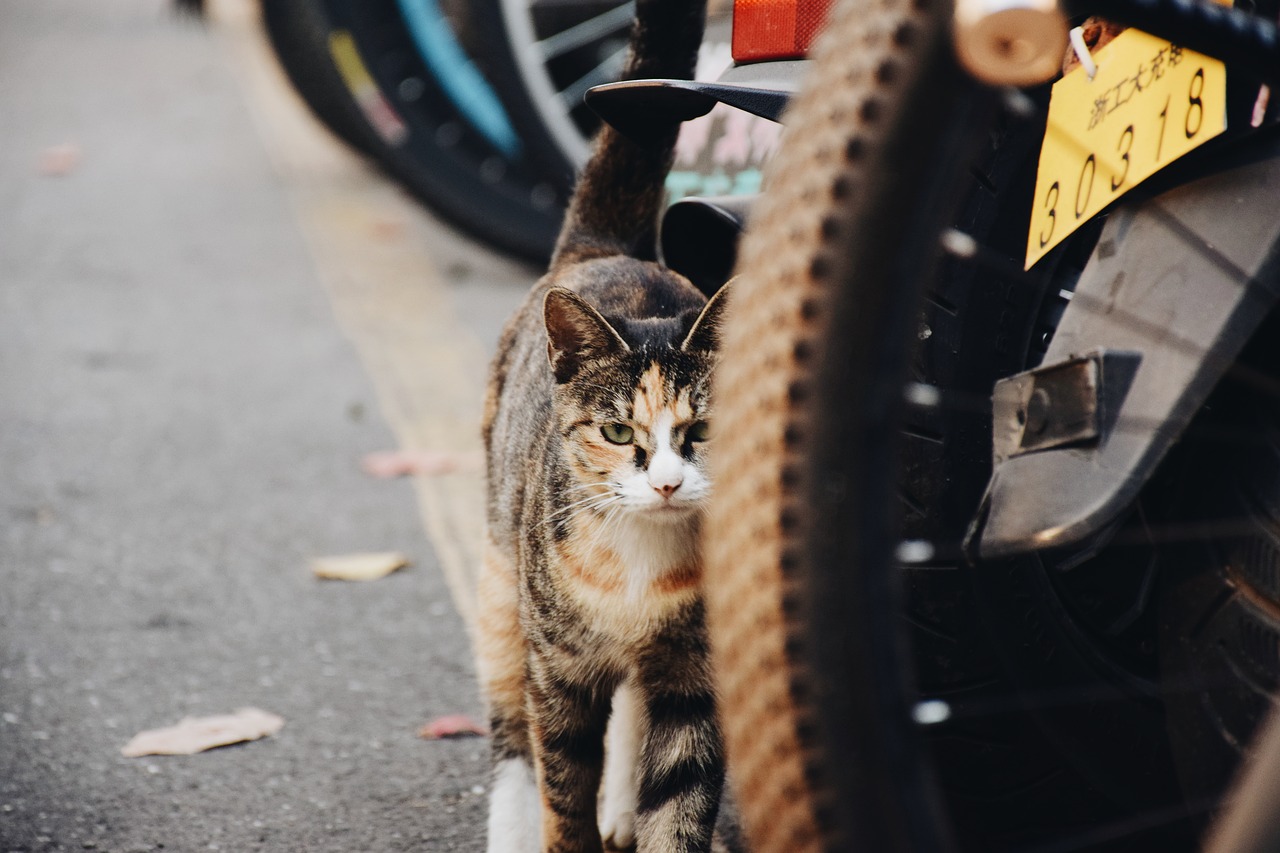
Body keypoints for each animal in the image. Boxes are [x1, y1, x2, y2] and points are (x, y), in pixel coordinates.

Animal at [478, 0, 732, 845]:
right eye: (619, 432)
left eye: (702, 431)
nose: (665, 483)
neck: (642, 570)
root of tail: (606, 247)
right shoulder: (558, 672)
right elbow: (561, 783)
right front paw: (562, 823)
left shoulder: (695, 675)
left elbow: (680, 797)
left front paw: (646, 814)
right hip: (502, 577)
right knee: (510, 726)